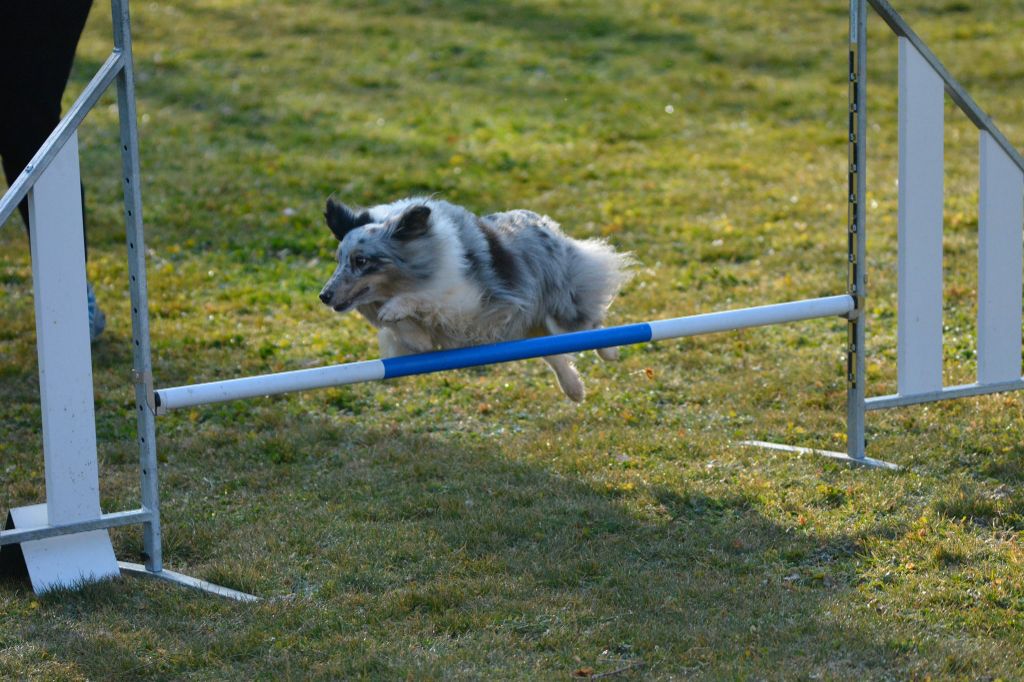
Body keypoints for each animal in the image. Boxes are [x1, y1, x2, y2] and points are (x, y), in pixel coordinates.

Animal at [317, 195, 630, 399]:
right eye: (338, 260)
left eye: (360, 261)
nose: (324, 296)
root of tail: (542, 222)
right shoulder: (420, 343)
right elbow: (408, 333)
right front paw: (396, 318)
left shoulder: (468, 302)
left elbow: (426, 299)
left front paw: (395, 308)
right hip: (527, 327)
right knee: (552, 352)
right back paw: (574, 388)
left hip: (562, 308)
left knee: (589, 321)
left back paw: (610, 352)